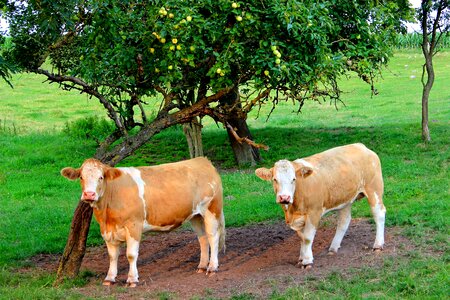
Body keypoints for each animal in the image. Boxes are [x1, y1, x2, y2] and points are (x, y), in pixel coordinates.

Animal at [60, 157, 225, 286]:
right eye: (81, 177)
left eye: (101, 177)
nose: (89, 194)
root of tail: (202, 160)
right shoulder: (106, 231)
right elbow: (112, 256)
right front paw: (110, 278)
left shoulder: (134, 226)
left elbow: (131, 254)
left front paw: (132, 279)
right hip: (196, 215)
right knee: (202, 238)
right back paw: (202, 266)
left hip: (211, 209)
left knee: (213, 237)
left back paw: (212, 267)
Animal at [255, 143, 384, 268]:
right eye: (275, 179)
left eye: (294, 179)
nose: (284, 198)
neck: (293, 209)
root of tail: (361, 146)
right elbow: (301, 237)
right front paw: (301, 258)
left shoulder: (314, 211)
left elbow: (307, 237)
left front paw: (307, 261)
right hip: (345, 199)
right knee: (344, 221)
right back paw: (333, 248)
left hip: (374, 189)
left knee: (379, 214)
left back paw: (378, 245)